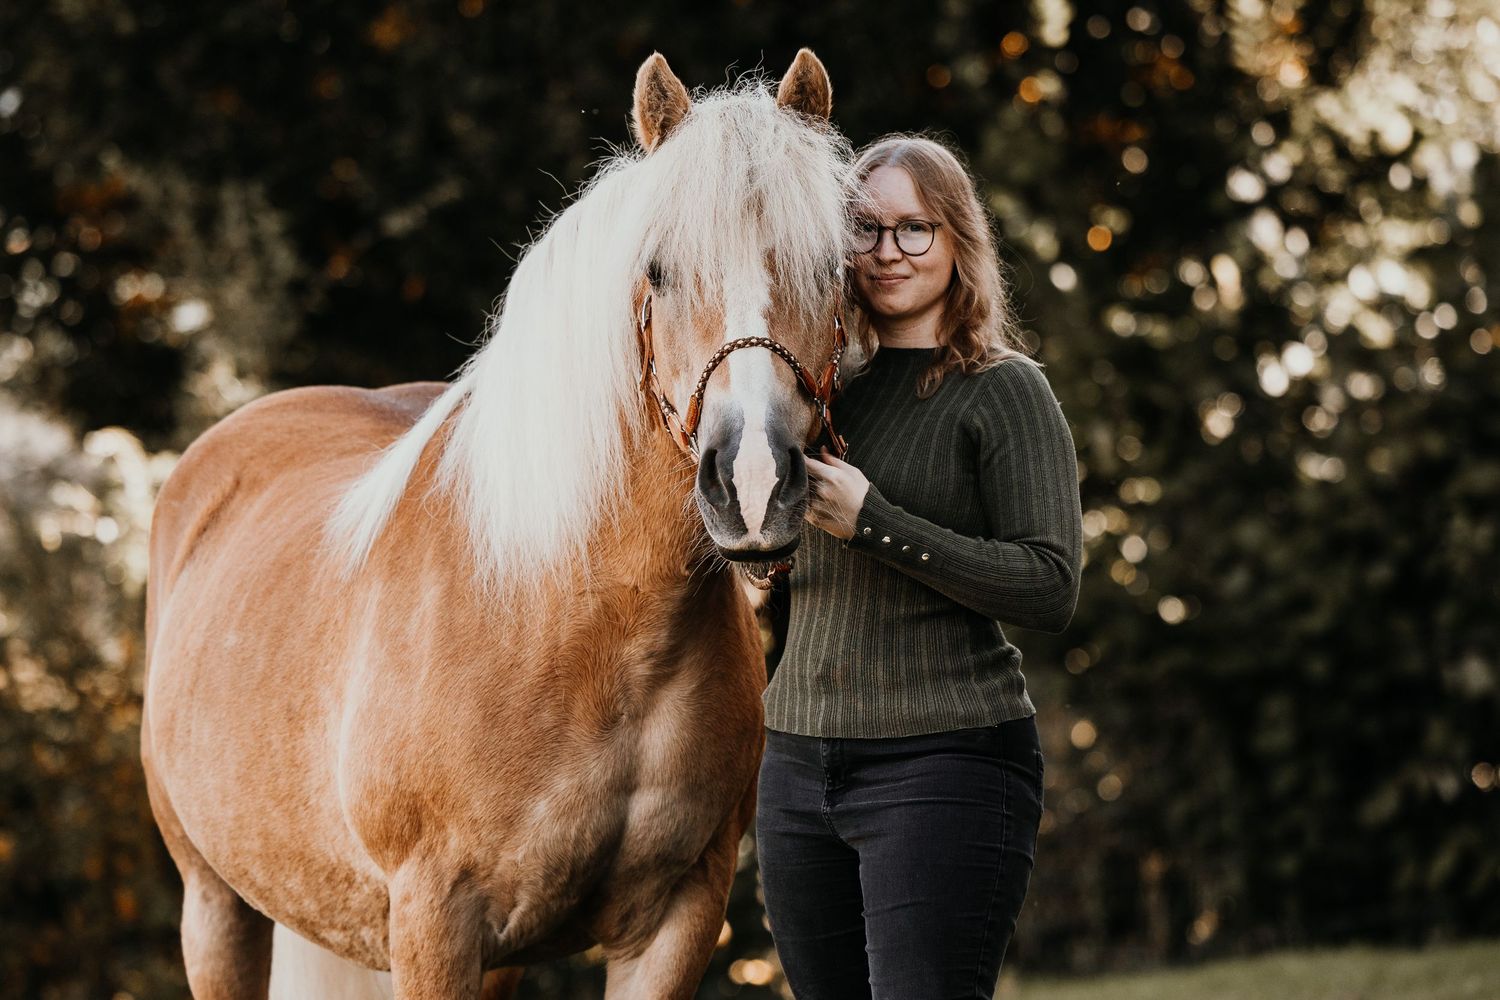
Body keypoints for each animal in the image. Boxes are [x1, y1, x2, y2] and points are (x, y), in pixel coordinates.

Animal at [141, 49, 854, 999]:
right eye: (657, 270)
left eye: (836, 265)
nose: (754, 481)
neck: (583, 626)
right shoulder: (434, 924)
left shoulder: (678, 918)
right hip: (217, 907)